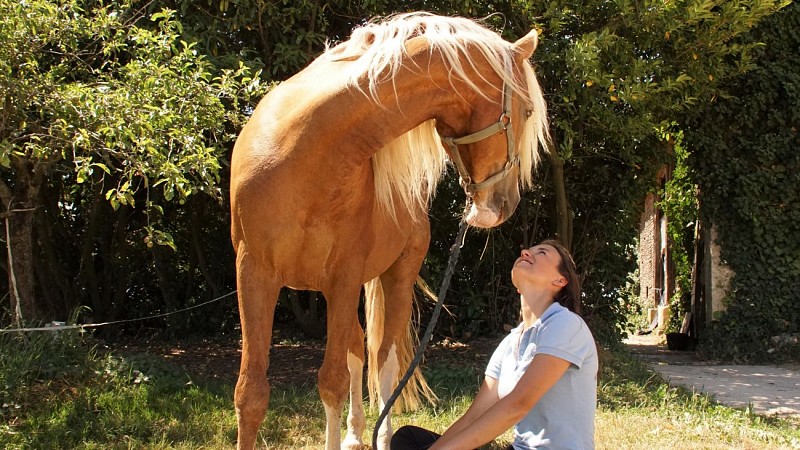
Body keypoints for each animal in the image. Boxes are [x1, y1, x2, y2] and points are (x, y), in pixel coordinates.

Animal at [228, 11, 548, 450]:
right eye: (528, 110)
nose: (504, 204)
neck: (302, 149)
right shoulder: (254, 273)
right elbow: (252, 393)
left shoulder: (344, 277)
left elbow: (332, 381)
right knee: (358, 351)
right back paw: (353, 433)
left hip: (395, 275)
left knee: (384, 362)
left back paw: (380, 435)